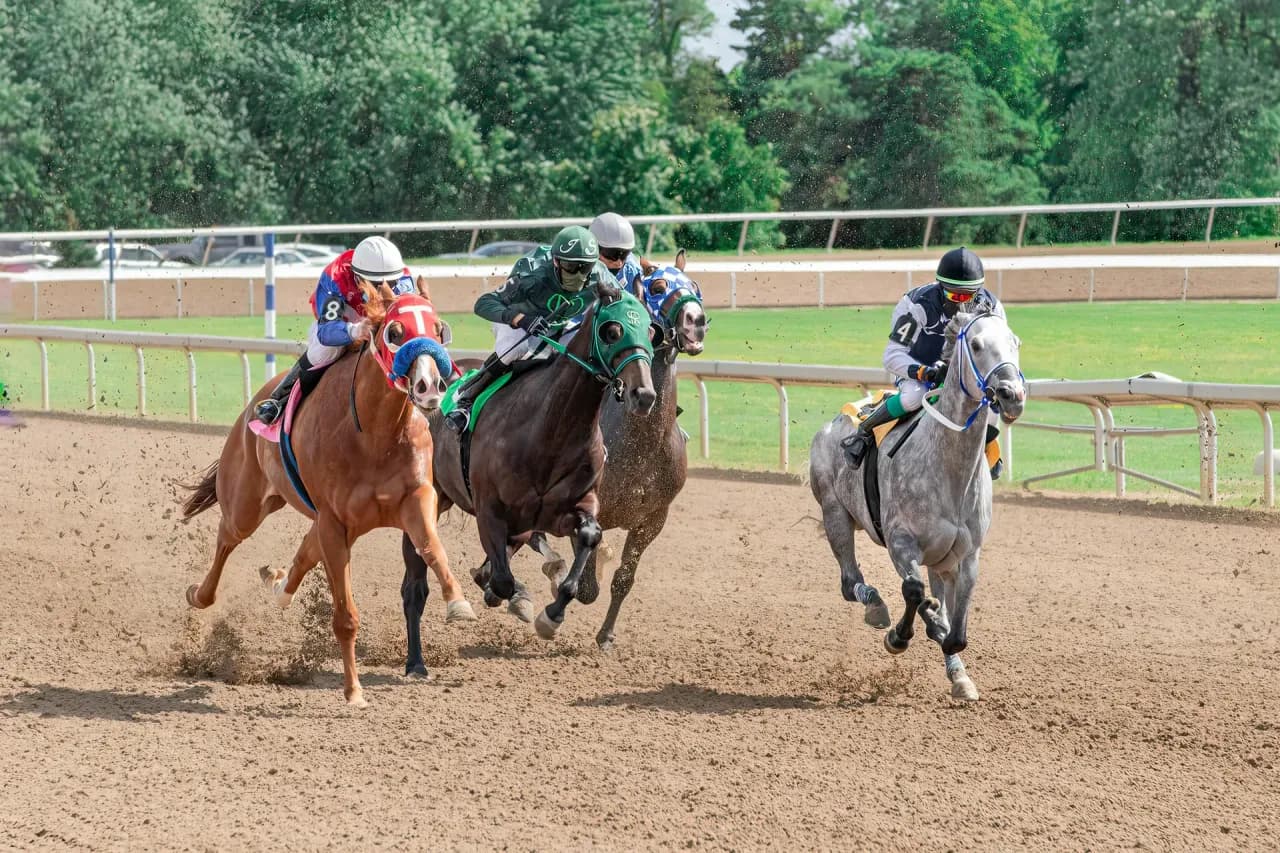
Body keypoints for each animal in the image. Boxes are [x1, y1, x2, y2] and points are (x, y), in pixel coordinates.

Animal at [180, 278, 470, 707]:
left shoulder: (416, 499)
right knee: (228, 537)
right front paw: (353, 691)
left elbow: (433, 549)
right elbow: (345, 617)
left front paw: (458, 602)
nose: (431, 386)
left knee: (304, 549)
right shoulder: (335, 522)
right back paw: (200, 595)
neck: (374, 434)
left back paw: (279, 588)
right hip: (246, 502)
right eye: (395, 332)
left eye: (438, 329)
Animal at [423, 279, 658, 646]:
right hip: (438, 492)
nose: (643, 395)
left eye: (651, 330)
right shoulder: (490, 510)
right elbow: (502, 580)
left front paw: (552, 615)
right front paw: (510, 594)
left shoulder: (565, 510)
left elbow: (589, 536)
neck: (550, 430)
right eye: (612, 330)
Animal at [530, 251, 708, 650]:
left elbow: (623, 578)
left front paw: (606, 635)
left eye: (695, 286)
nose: (697, 322)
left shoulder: (652, 519)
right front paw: (559, 598)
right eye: (658, 286)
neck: (639, 445)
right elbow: (585, 585)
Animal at [807, 308, 1025, 701]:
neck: (949, 471)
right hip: (834, 511)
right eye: (975, 344)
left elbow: (957, 632)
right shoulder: (900, 541)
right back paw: (875, 605)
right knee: (850, 583)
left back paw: (955, 668)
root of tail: (835, 422)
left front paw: (952, 655)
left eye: (1014, 342)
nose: (1011, 394)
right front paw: (898, 636)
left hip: (938, 559)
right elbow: (913, 592)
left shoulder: (965, 556)